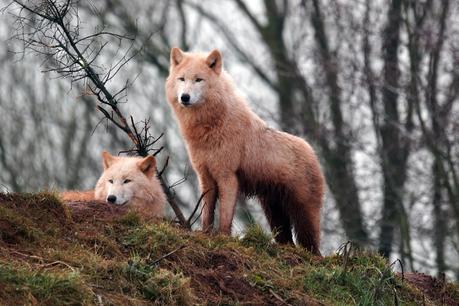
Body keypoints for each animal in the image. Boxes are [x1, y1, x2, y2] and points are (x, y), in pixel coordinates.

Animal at [167, 47, 326, 253]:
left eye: (198, 80)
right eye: (182, 79)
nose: (184, 97)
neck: (212, 124)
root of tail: (313, 153)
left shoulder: (227, 177)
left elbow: (225, 216)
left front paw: (223, 238)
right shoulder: (206, 177)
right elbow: (207, 214)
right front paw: (205, 234)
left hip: (303, 216)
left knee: (313, 247)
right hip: (274, 214)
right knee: (287, 240)